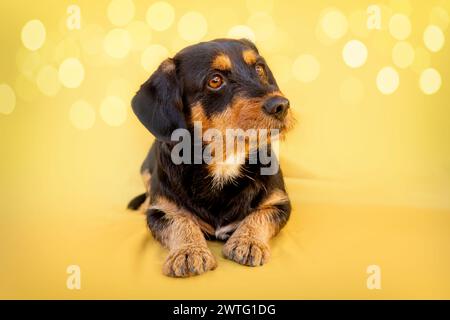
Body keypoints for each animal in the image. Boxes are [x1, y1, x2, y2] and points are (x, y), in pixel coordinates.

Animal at [127, 38, 296, 276]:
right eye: (215, 80)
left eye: (259, 68)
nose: (281, 105)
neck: (225, 161)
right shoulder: (161, 211)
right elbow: (180, 222)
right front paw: (189, 251)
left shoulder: (280, 202)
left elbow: (259, 216)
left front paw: (247, 241)